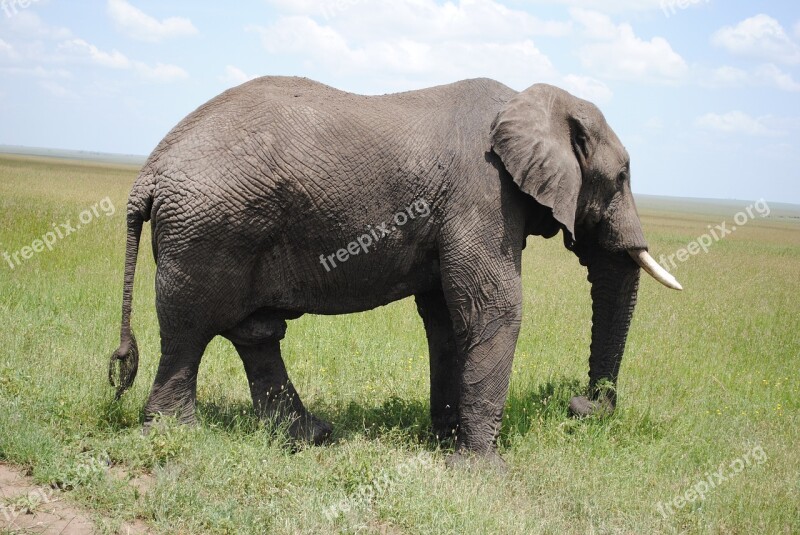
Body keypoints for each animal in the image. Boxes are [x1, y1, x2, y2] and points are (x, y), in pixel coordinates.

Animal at [106, 75, 680, 464]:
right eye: (622, 176)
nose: (580, 405)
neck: (529, 100)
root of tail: (150, 170)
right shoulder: (482, 193)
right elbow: (493, 308)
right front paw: (480, 470)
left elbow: (448, 319)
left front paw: (446, 443)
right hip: (208, 230)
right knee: (190, 329)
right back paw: (175, 437)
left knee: (255, 332)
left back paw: (310, 437)